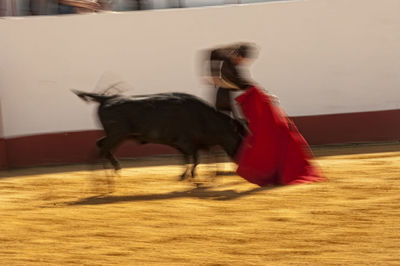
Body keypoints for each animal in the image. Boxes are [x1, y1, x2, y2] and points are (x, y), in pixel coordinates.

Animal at [73, 90, 245, 180]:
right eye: (239, 139)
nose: (239, 159)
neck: (204, 117)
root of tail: (106, 98)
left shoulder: (187, 145)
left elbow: (190, 159)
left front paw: (185, 175)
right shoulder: (186, 142)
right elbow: (194, 159)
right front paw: (190, 177)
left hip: (117, 136)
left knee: (100, 145)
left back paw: (115, 168)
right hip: (116, 135)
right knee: (99, 152)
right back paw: (103, 183)